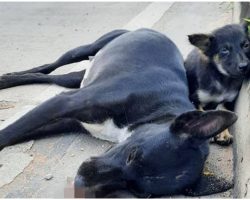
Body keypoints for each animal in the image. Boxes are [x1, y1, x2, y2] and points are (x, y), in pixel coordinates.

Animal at [0, 28, 237, 198]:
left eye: (136, 191)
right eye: (132, 154)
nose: (80, 186)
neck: (157, 109)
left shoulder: (70, 121)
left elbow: (22, 133)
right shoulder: (65, 102)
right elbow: (12, 130)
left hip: (77, 77)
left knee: (51, 77)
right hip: (85, 49)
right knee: (48, 67)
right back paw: (9, 79)